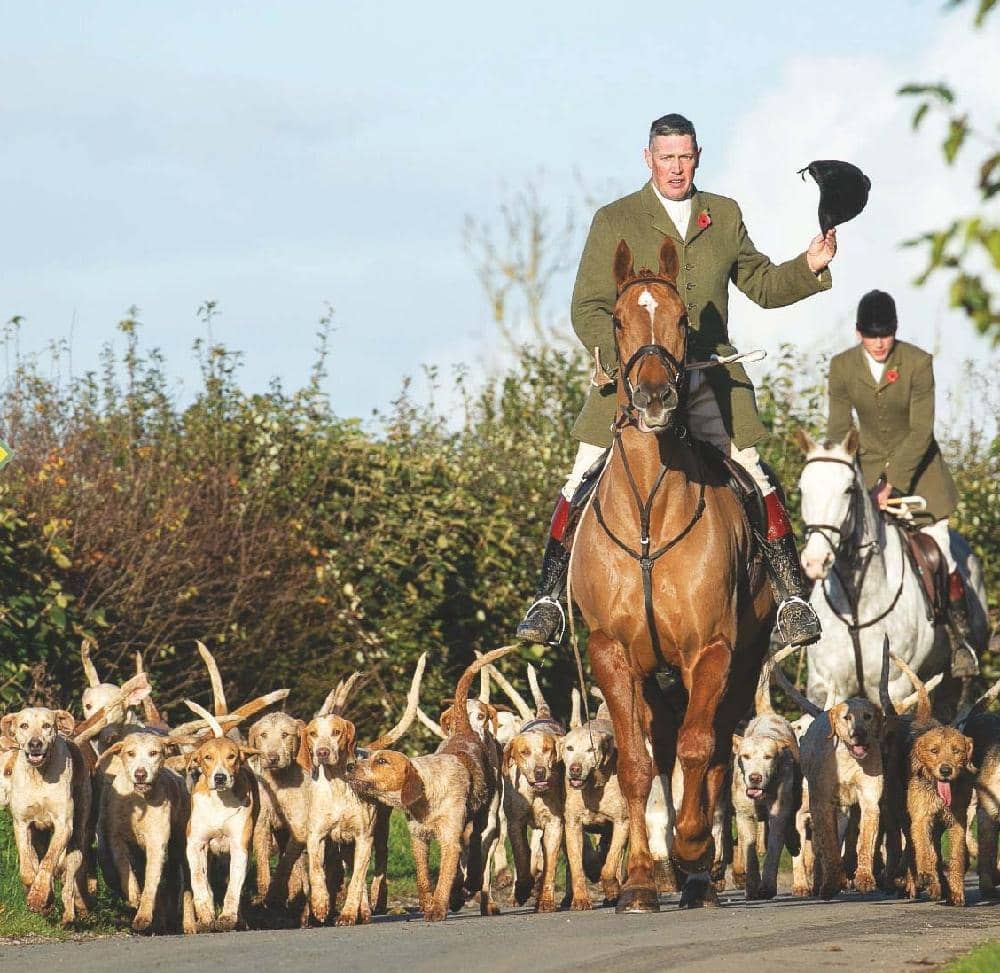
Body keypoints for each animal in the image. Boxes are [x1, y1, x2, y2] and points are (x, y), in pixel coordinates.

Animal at [572, 237, 772, 912]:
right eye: (616, 319)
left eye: (684, 322)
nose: (655, 398)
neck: (648, 521)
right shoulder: (611, 652)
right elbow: (636, 762)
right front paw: (637, 880)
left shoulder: (710, 650)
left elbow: (698, 748)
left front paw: (691, 850)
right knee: (660, 747)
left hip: (743, 660)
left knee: (712, 749)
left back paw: (699, 872)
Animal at [792, 430, 988, 712]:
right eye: (802, 488)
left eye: (848, 490)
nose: (816, 560)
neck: (857, 600)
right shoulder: (825, 687)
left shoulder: (895, 687)